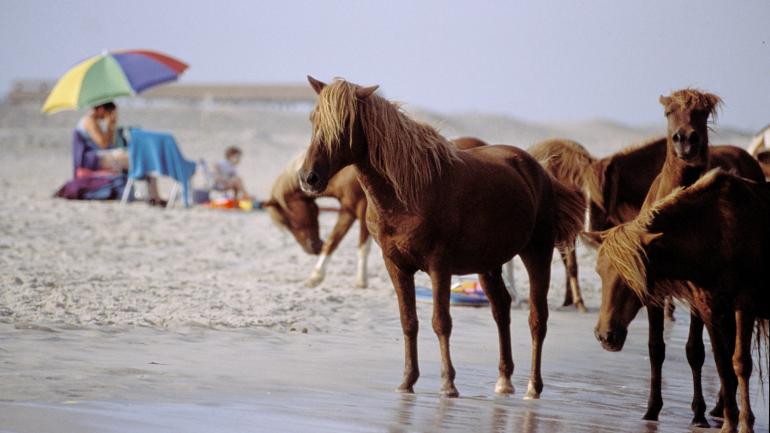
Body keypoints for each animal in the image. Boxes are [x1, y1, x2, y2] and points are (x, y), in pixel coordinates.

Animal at [264, 137, 489, 288]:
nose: (312, 248)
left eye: (290, 221)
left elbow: (362, 245)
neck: (344, 173)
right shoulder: (347, 211)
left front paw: (360, 281)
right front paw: (315, 277)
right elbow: (334, 241)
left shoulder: (363, 210)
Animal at [298, 76, 584, 398]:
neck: (407, 192)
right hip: (488, 265)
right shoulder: (396, 266)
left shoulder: (439, 266)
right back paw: (504, 380)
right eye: (313, 119)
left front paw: (448, 384)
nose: (309, 178)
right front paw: (407, 381)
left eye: (344, 124)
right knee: (501, 309)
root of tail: (537, 168)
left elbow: (441, 322)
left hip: (537, 252)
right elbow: (409, 321)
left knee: (537, 318)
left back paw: (533, 387)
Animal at [594, 169, 769, 433]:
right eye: (599, 272)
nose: (606, 335)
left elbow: (741, 363)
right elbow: (723, 365)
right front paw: (729, 423)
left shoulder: (744, 304)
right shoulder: (710, 309)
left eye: (633, 276)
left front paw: (746, 423)